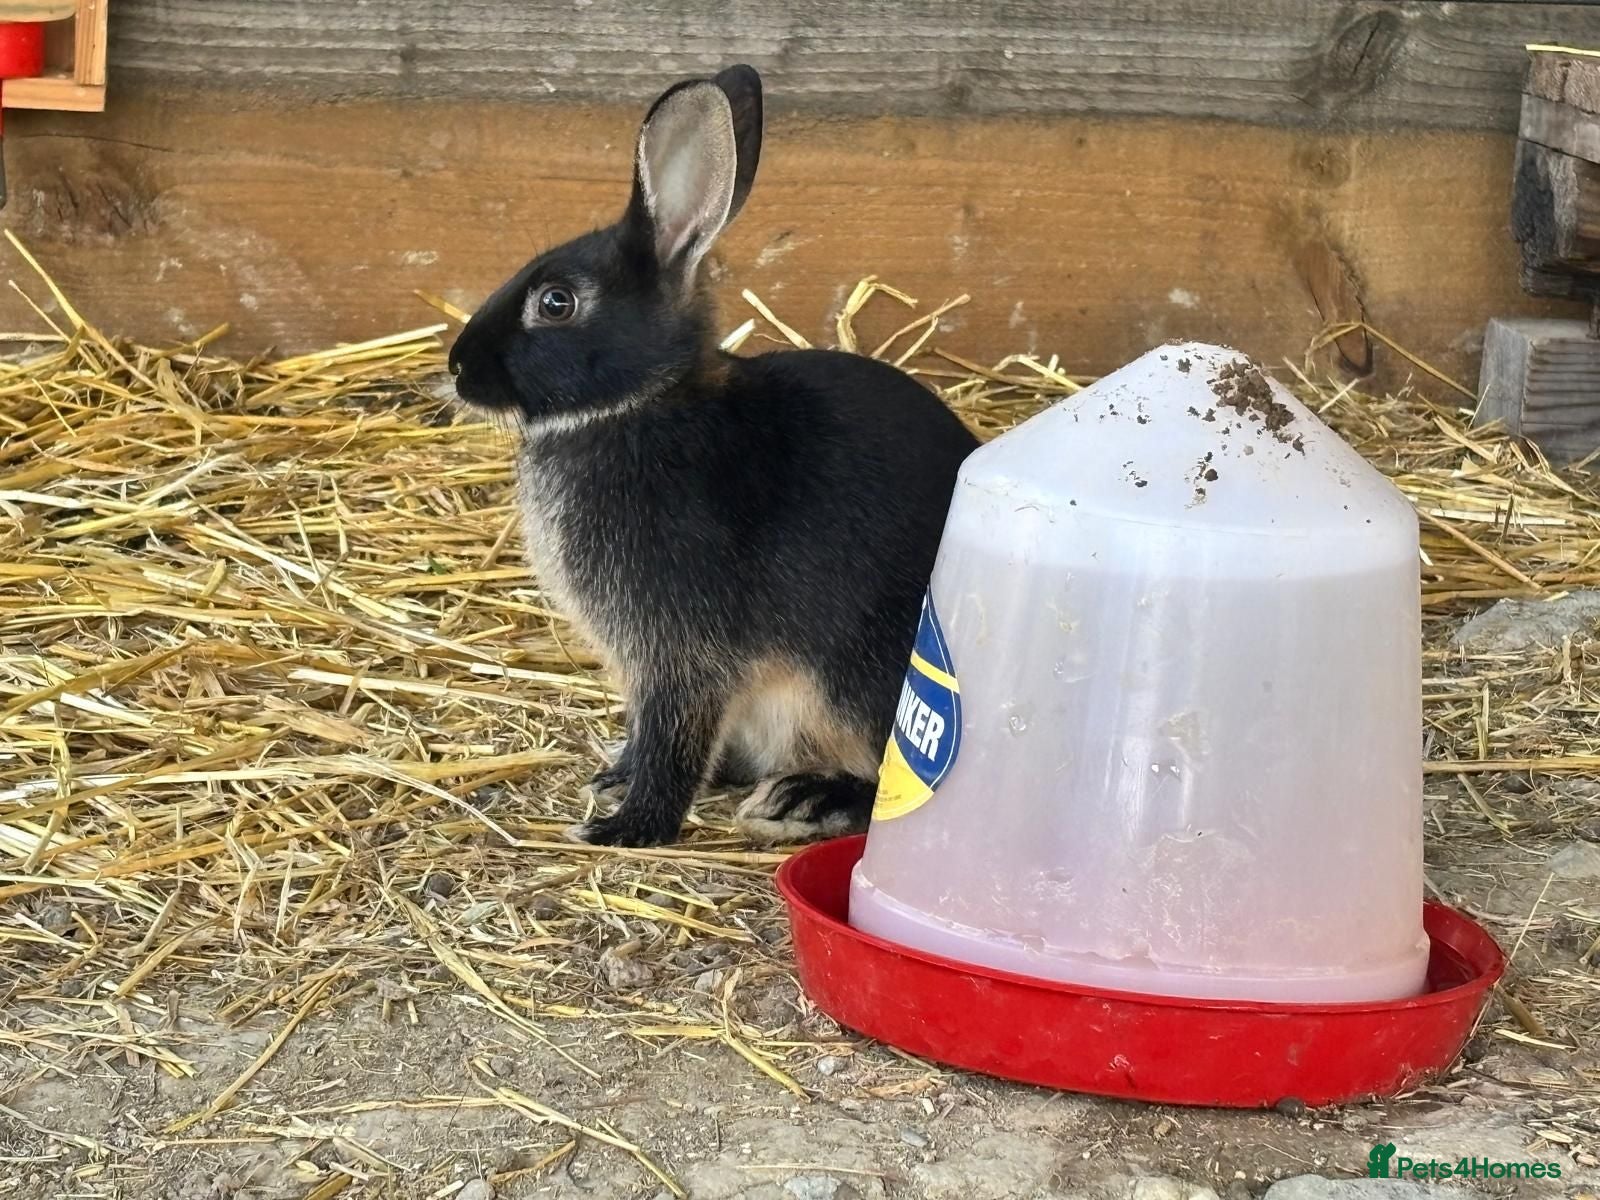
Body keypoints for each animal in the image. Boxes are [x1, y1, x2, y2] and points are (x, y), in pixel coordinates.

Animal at [447, 64, 978, 847]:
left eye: (556, 303)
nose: (457, 367)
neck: (642, 402)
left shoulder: (681, 648)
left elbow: (675, 735)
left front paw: (629, 826)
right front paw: (618, 776)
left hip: (866, 676)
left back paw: (804, 800)